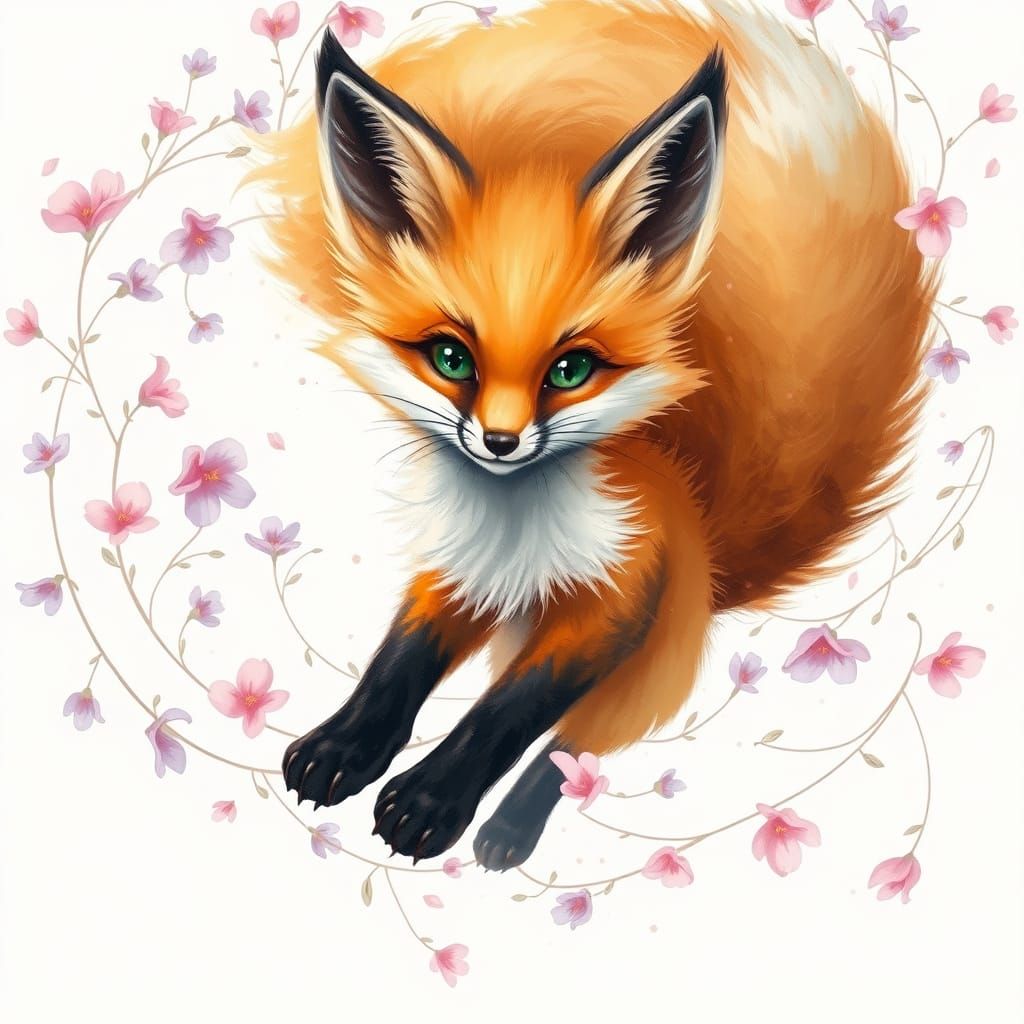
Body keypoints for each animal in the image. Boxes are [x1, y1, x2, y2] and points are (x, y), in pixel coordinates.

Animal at [251, 0, 934, 869]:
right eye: (451, 357)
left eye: (572, 369)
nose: (499, 442)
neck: (513, 535)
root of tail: (712, 569)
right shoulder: (452, 577)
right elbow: (395, 669)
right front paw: (344, 747)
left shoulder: (612, 606)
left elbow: (502, 717)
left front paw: (433, 800)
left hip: (639, 683)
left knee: (569, 752)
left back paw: (510, 829)